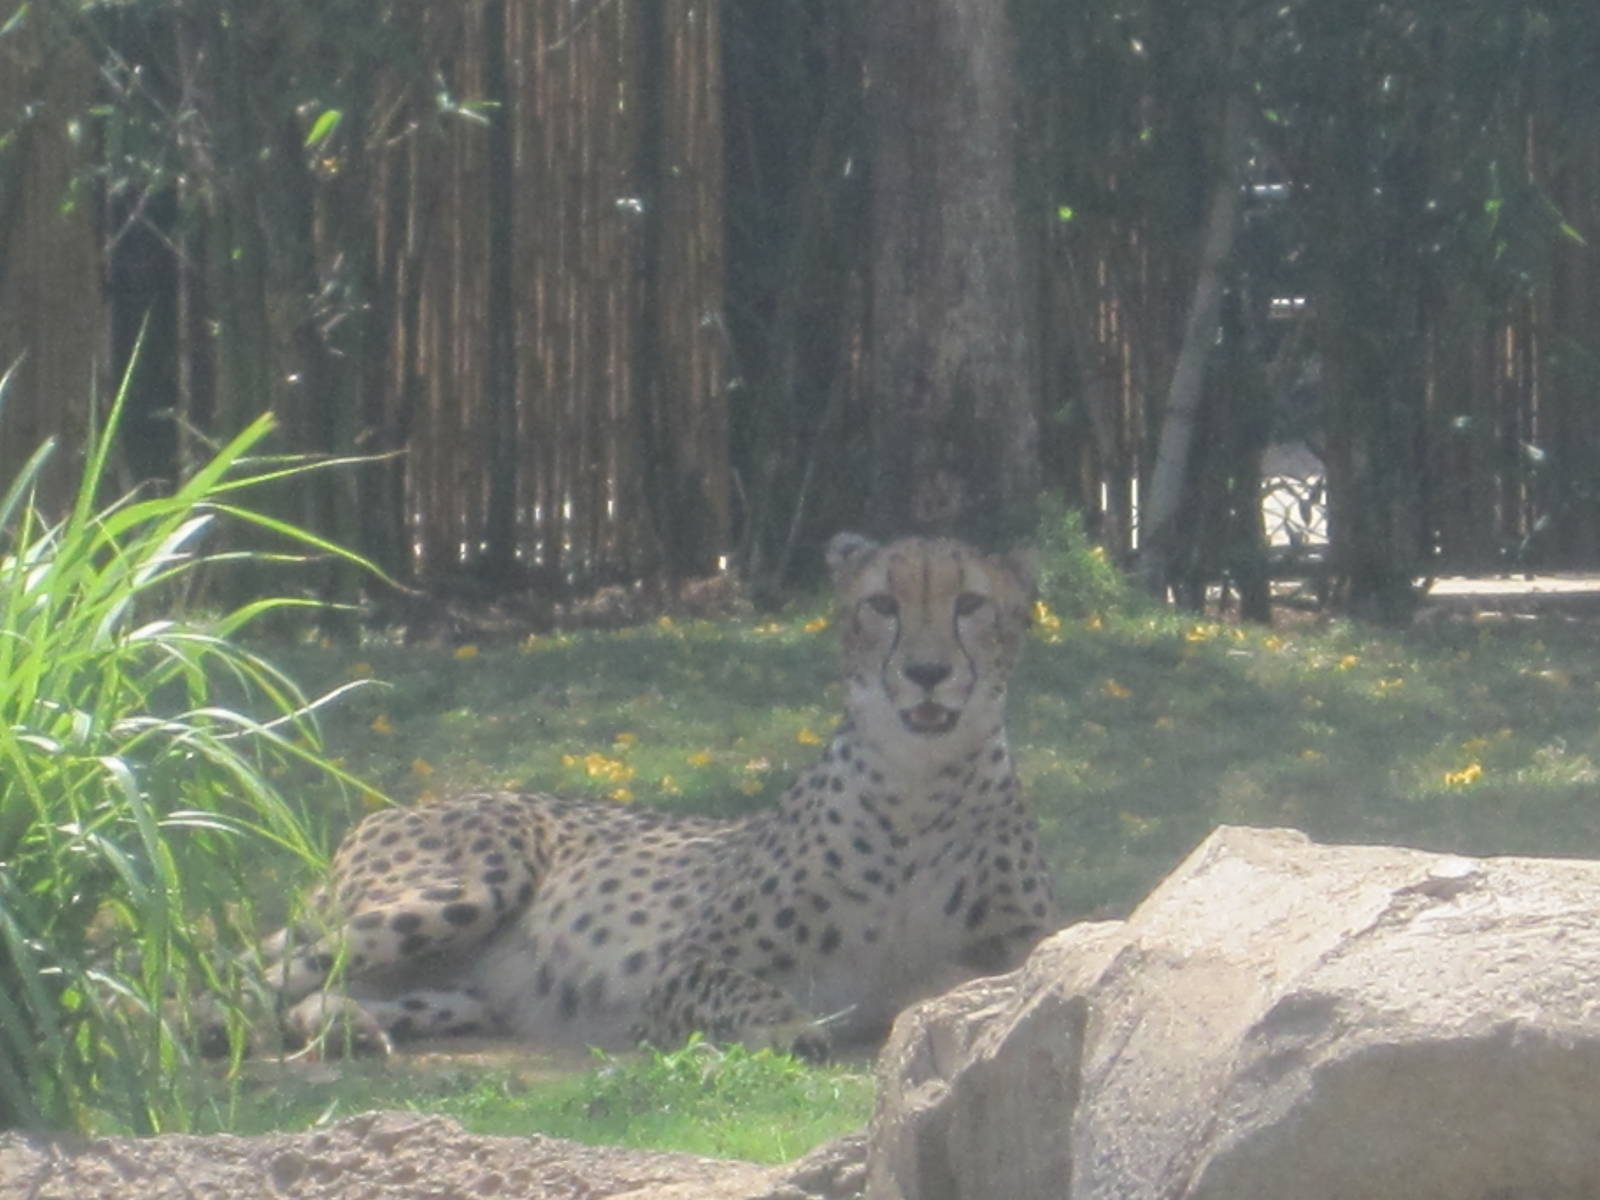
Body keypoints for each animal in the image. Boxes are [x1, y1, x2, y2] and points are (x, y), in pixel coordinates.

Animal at [258, 532, 1058, 1060]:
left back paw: (349, 1024)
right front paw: (788, 1027)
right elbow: (739, 989)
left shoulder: (1019, 948)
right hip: (465, 888)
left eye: (971, 603)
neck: (921, 787)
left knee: (316, 994)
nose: (927, 672)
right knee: (249, 983)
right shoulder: (679, 969)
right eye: (883, 605)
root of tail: (400, 805)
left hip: (461, 990)